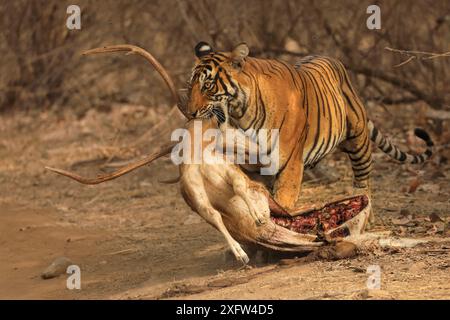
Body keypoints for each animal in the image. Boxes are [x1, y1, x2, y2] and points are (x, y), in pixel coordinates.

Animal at [185, 42, 434, 212]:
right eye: (190, 85)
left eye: (207, 86)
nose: (190, 112)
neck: (241, 114)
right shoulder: (252, 168)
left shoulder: (288, 164)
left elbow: (282, 204)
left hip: (359, 142)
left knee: (364, 183)